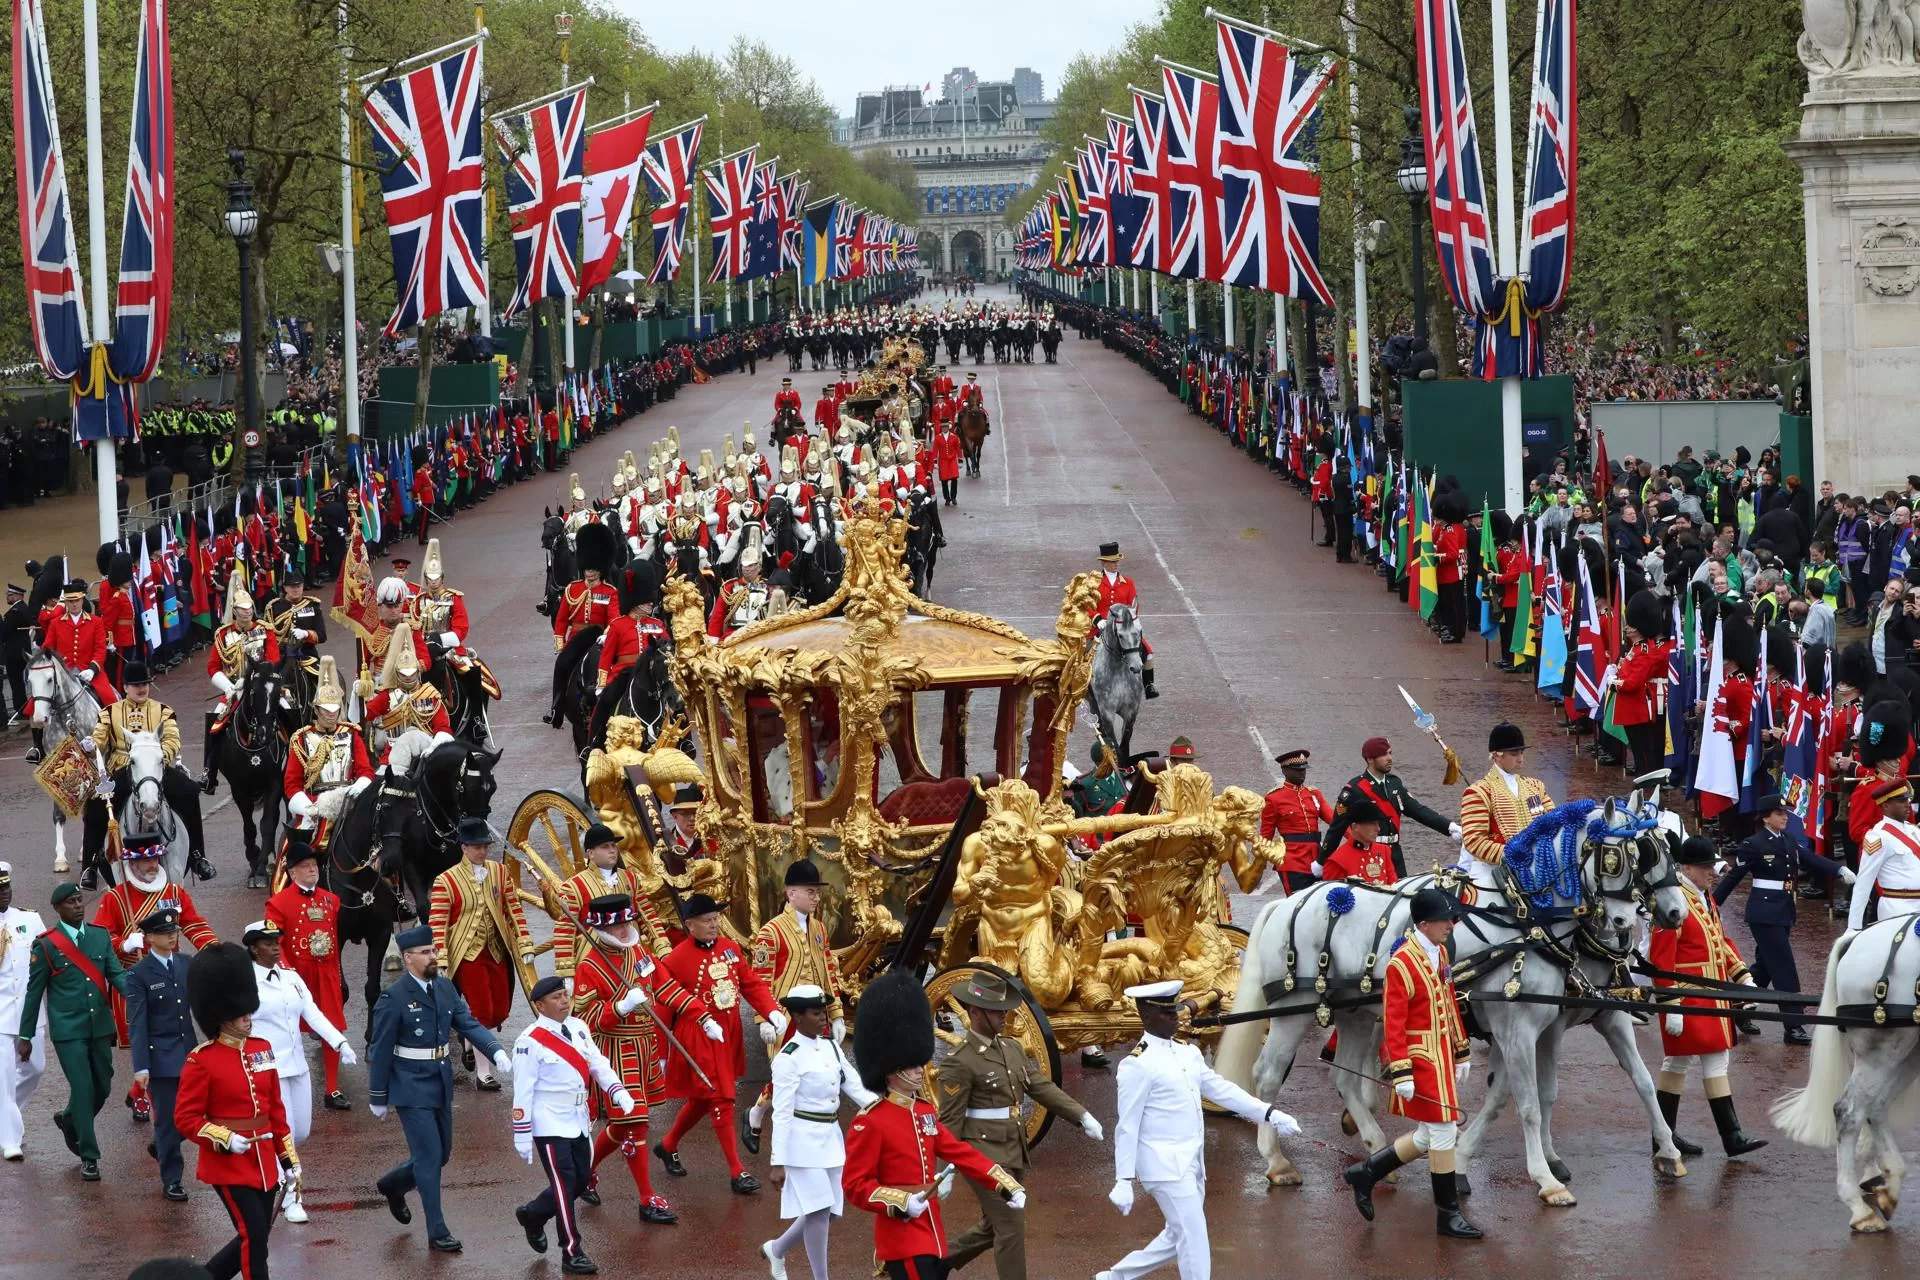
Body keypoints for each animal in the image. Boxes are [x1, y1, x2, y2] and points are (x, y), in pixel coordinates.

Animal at [25, 656, 104, 875]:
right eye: (29, 680)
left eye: (50, 679)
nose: (39, 718)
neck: (67, 716)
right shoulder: (53, 768)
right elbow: (59, 814)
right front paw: (60, 858)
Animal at [1221, 794, 1689, 1205]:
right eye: (1620, 855)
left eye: (1661, 850)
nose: (1671, 915)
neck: (1527, 922)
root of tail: (1288, 903)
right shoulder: (1518, 1028)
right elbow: (1529, 1103)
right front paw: (1545, 1178)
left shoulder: (1555, 1024)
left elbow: (1623, 1082)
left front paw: (1666, 1151)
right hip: (1291, 1010)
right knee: (1267, 1075)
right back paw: (1277, 1162)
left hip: (1355, 1011)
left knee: (1344, 1078)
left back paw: (1376, 1151)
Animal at [1766, 921, 1920, 1228]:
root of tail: (1858, 937)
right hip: (1883, 1048)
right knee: (1849, 1110)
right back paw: (1859, 1208)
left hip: (1909, 1048)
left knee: (1876, 1106)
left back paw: (1889, 1183)